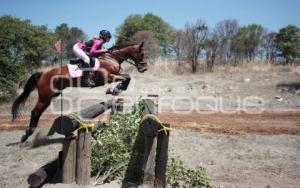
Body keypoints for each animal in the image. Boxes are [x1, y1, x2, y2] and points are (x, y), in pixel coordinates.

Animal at [11, 41, 148, 142]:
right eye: (142, 54)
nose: (144, 68)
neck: (110, 58)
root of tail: (43, 74)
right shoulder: (107, 77)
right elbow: (126, 77)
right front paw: (115, 89)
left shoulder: (115, 75)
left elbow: (127, 77)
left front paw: (116, 89)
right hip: (45, 96)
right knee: (35, 112)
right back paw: (27, 135)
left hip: (51, 95)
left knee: (38, 112)